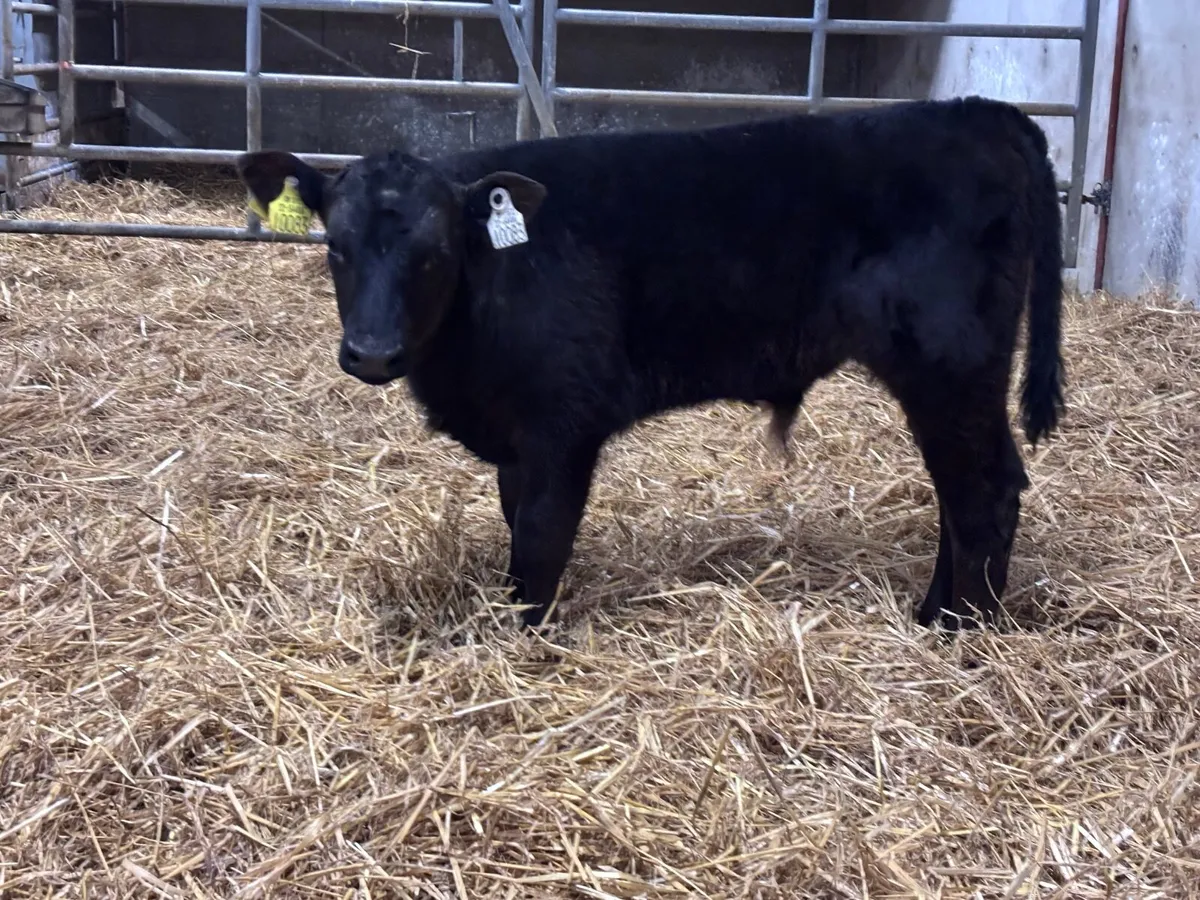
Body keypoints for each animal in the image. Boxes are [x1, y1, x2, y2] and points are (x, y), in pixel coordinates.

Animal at [237, 95, 1065, 631]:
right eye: (336, 246)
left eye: (435, 254)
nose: (372, 353)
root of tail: (977, 110)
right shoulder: (518, 436)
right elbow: (515, 526)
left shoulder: (561, 427)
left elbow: (540, 539)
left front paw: (523, 637)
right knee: (962, 495)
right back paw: (936, 614)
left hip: (951, 365)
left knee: (985, 492)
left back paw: (962, 629)